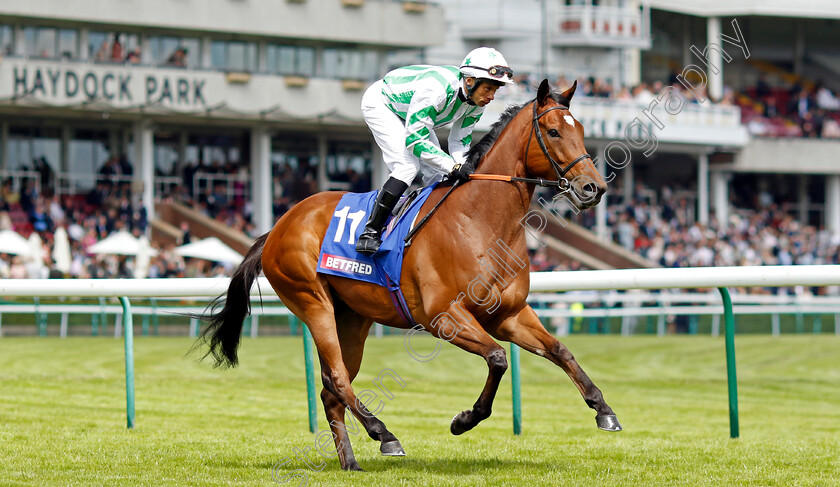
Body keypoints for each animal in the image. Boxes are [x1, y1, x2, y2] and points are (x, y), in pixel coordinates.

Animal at [195, 80, 616, 472]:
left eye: (580, 130)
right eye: (554, 132)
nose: (593, 188)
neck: (478, 221)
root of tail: (278, 225)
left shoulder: (508, 315)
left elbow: (560, 351)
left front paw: (603, 409)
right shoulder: (443, 317)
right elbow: (498, 358)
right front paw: (464, 420)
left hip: (353, 317)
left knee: (332, 388)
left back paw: (350, 461)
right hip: (312, 303)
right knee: (338, 379)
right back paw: (384, 434)